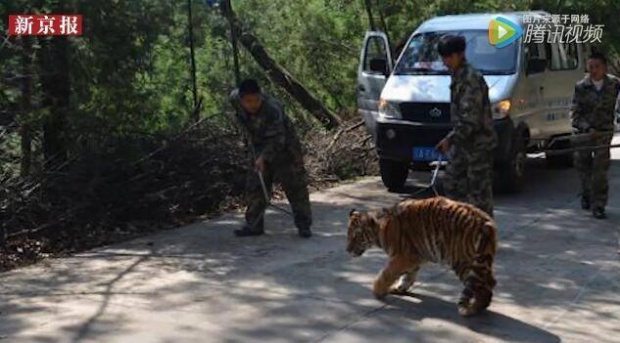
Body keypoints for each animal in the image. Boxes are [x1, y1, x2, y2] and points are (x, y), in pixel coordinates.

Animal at [346, 196, 496, 318]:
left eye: (356, 236)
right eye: (348, 235)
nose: (347, 250)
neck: (380, 229)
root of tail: (486, 223)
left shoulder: (401, 257)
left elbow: (386, 274)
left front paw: (377, 291)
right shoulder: (412, 258)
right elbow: (408, 276)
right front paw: (399, 288)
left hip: (463, 262)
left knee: (482, 287)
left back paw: (472, 309)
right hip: (481, 262)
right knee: (491, 283)